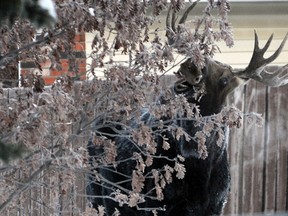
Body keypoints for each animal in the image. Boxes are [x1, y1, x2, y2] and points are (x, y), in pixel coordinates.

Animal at [86, 2, 288, 216]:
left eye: (225, 79)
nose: (191, 67)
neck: (198, 165)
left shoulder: (217, 205)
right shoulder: (157, 203)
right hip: (97, 193)